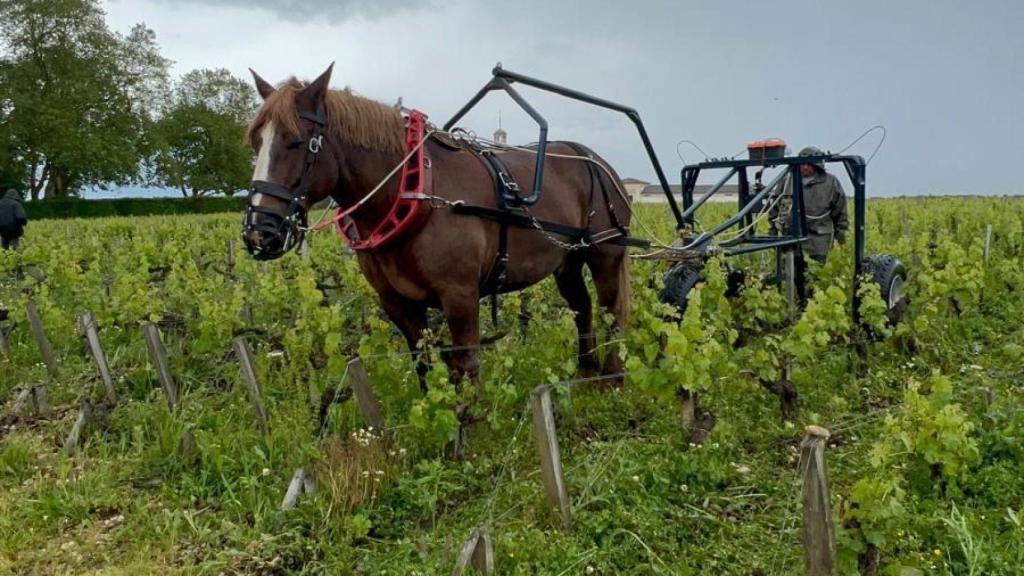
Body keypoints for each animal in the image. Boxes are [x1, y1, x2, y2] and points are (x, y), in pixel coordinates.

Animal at [243, 62, 630, 393]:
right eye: (256, 142)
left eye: (298, 141)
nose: (259, 232)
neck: (414, 193)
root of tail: (598, 162)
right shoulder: (396, 302)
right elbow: (424, 365)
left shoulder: (460, 295)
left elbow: (466, 367)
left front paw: (470, 427)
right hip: (567, 261)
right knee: (582, 307)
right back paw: (586, 373)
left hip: (605, 253)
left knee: (612, 310)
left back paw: (612, 376)